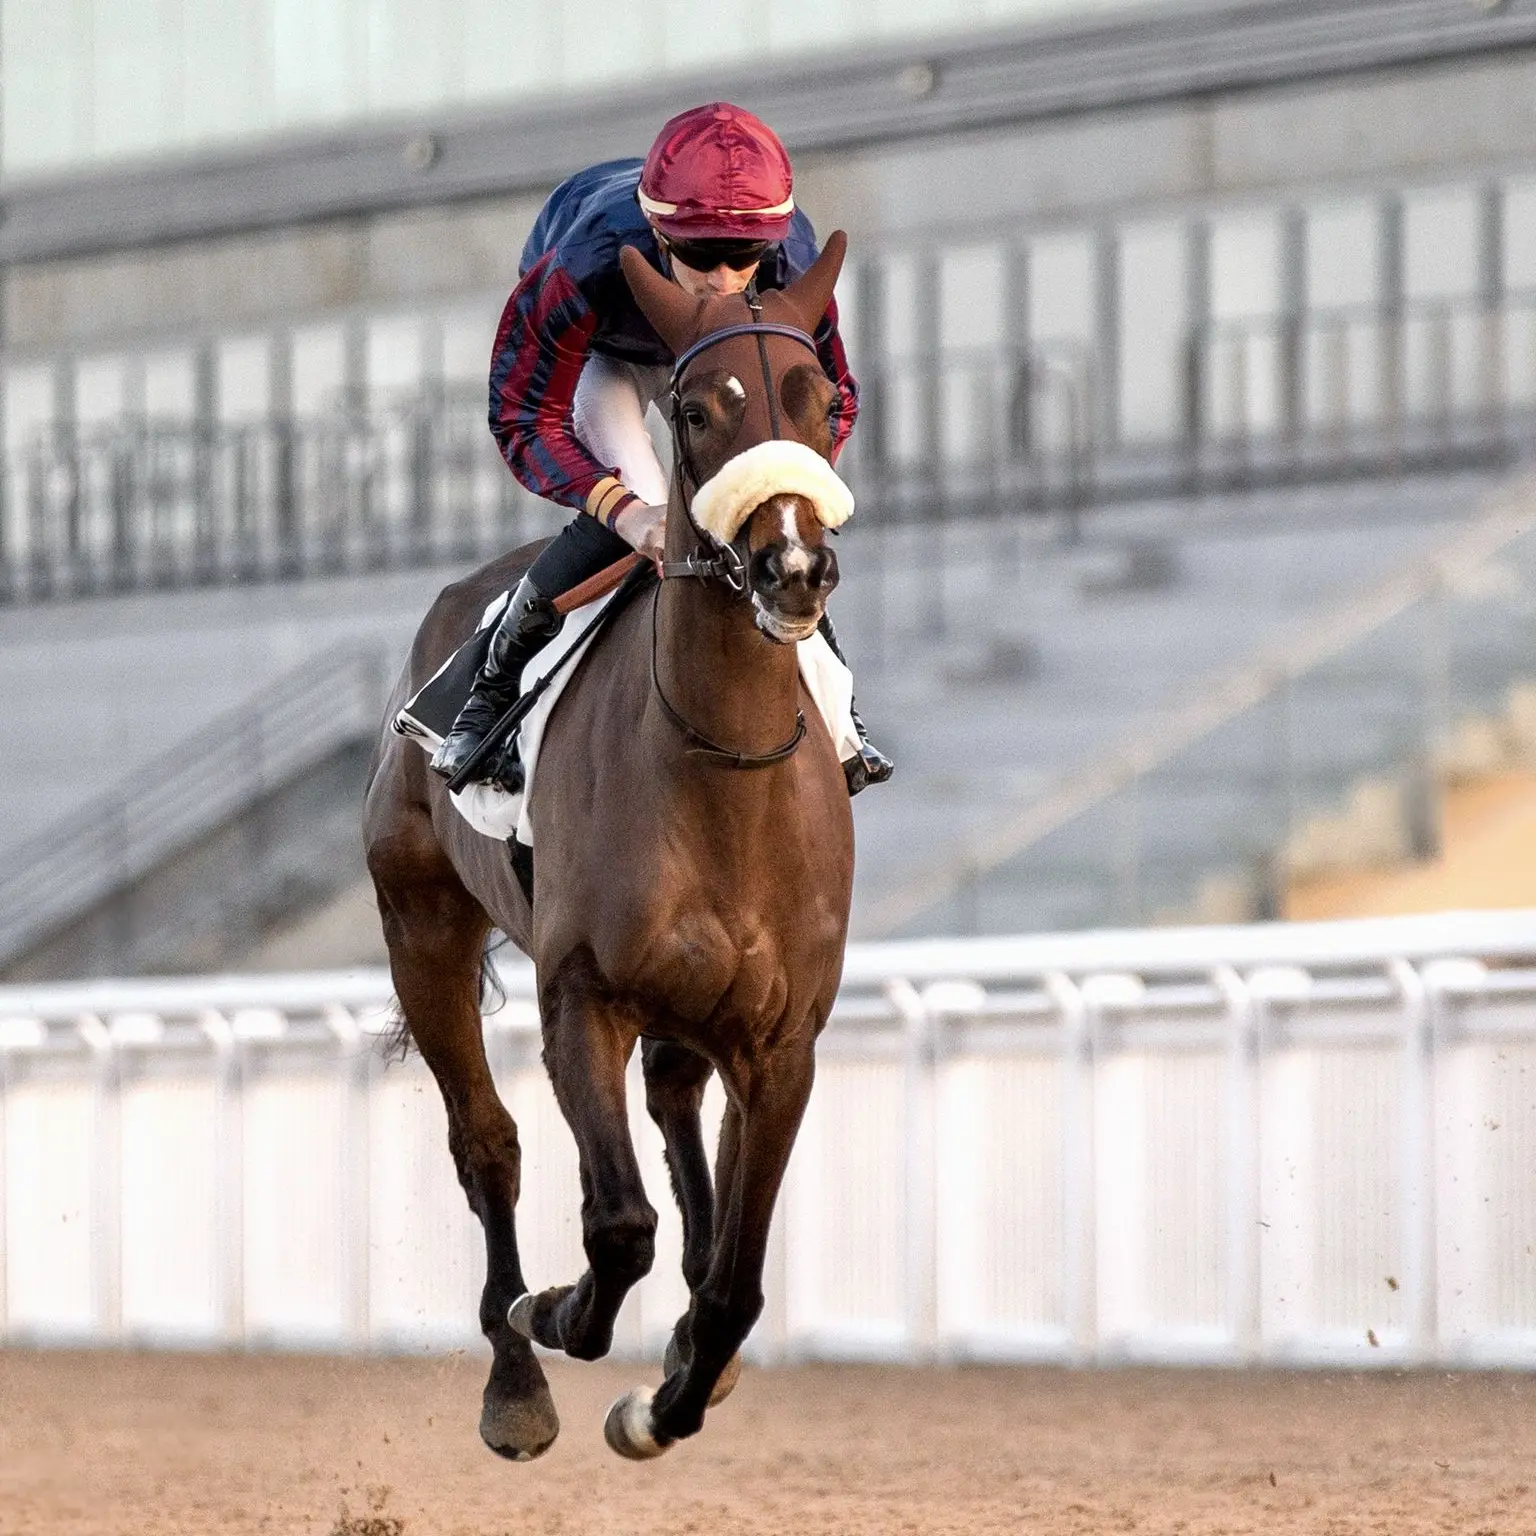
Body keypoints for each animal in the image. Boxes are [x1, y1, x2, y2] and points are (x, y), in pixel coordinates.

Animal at [362, 232, 856, 1460]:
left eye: (818, 398)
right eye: (695, 408)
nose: (792, 570)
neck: (721, 762)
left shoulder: (785, 1040)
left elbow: (736, 1284)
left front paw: (666, 1394)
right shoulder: (580, 997)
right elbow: (617, 1224)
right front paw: (556, 1318)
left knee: (677, 1102)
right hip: (421, 927)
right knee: (487, 1143)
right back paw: (514, 1377)